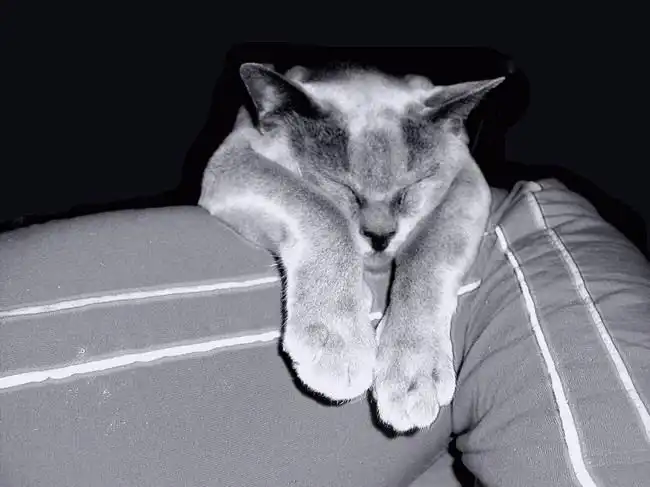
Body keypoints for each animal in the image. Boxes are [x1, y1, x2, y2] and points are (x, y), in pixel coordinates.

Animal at [198, 61, 503, 433]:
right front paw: (340, 344)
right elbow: (320, 208)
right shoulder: (233, 159)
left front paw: (413, 377)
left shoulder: (468, 178)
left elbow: (428, 251)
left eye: (410, 189)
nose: (380, 236)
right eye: (342, 186)